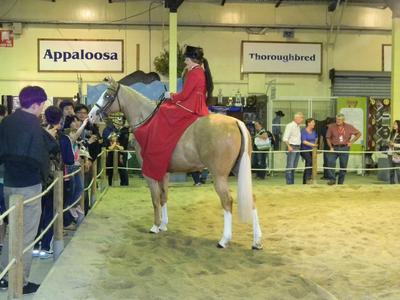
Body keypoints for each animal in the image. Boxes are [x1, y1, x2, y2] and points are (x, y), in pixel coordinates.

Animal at [87, 78, 262, 250]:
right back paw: (256, 241)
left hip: (219, 176)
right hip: (238, 171)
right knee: (252, 199)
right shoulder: (164, 172)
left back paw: (224, 240)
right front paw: (163, 225)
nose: (91, 116)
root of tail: (236, 122)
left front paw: (155, 226)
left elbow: (155, 199)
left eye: (107, 96)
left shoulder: (150, 171)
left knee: (227, 201)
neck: (148, 121)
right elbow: (164, 196)